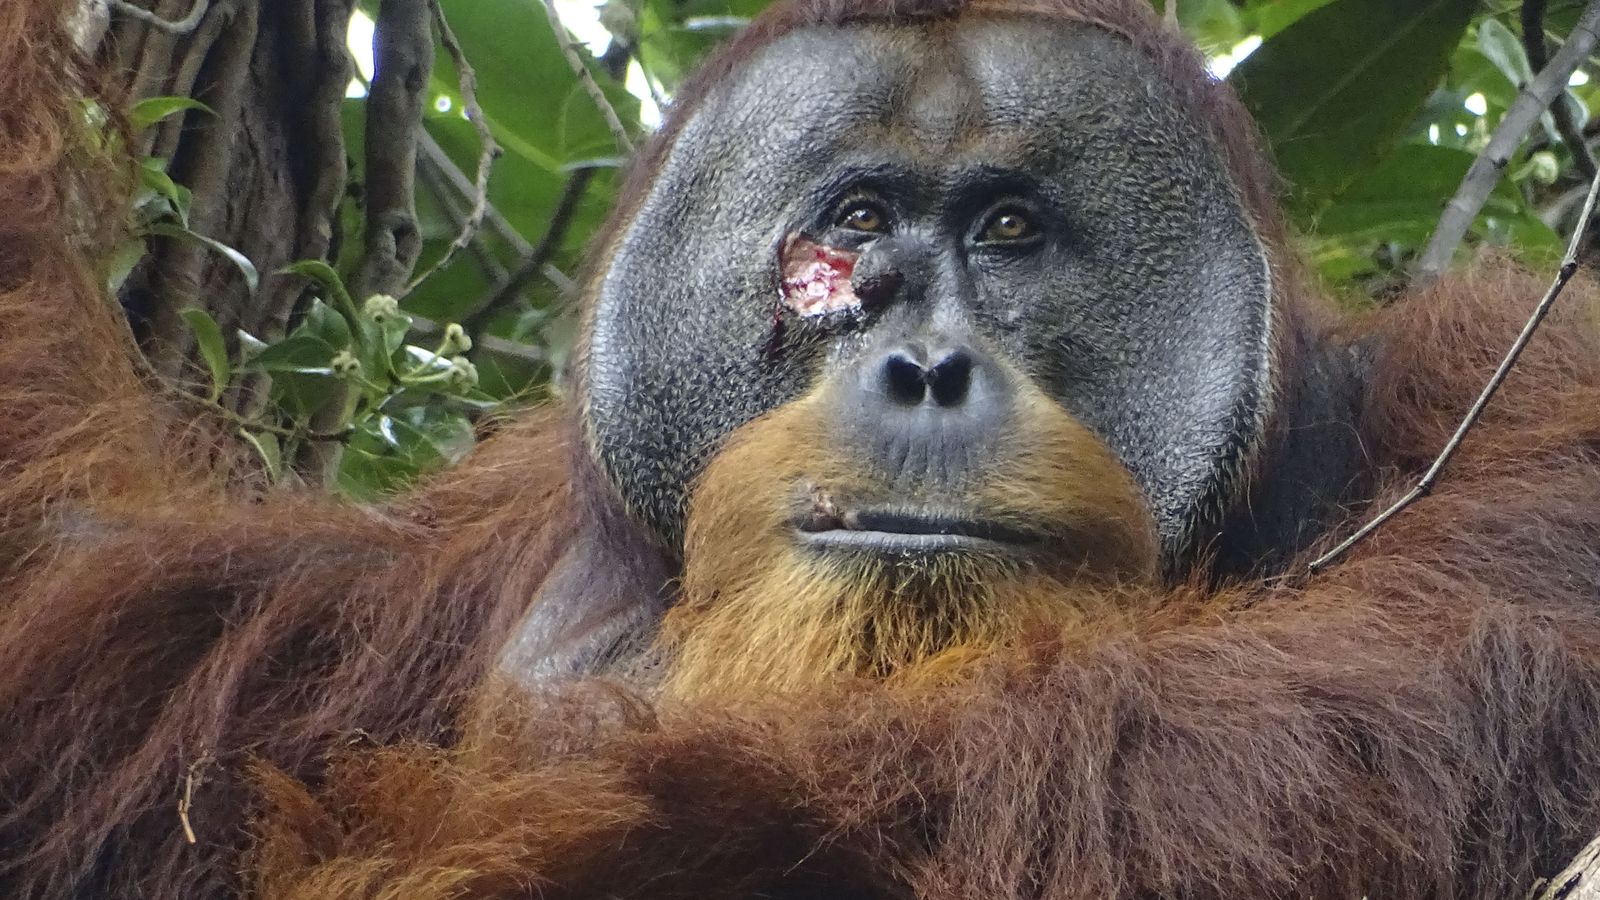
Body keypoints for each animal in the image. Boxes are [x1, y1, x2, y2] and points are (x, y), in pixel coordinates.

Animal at [4, 0, 1600, 897]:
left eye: (1007, 229)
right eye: (856, 225)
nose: (926, 367)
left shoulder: (1498, 389)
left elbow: (1404, 691)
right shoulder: (417, 583)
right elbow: (87, 604)